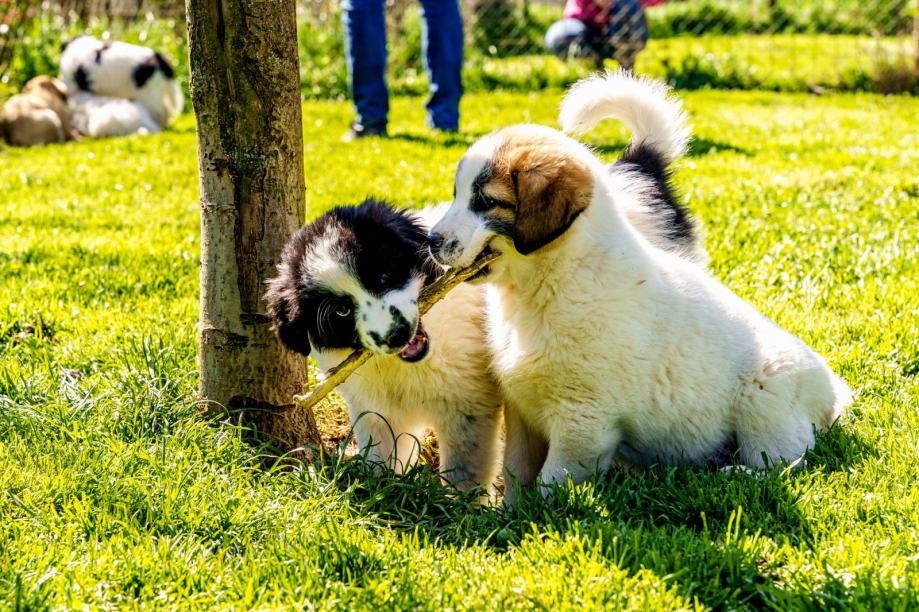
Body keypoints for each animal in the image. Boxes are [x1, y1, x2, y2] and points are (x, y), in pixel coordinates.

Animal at [265, 199, 505, 497]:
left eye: (382, 275)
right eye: (342, 311)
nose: (396, 334)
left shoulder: (467, 407)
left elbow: (464, 468)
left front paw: (459, 502)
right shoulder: (376, 411)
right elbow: (382, 457)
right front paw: (380, 490)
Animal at [429, 71, 851, 503]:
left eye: (486, 202)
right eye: (458, 195)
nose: (430, 240)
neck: (549, 279)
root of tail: (834, 393)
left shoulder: (582, 420)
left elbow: (553, 483)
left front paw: (542, 514)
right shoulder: (522, 411)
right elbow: (516, 471)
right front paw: (508, 511)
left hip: (768, 399)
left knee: (782, 462)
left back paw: (733, 474)